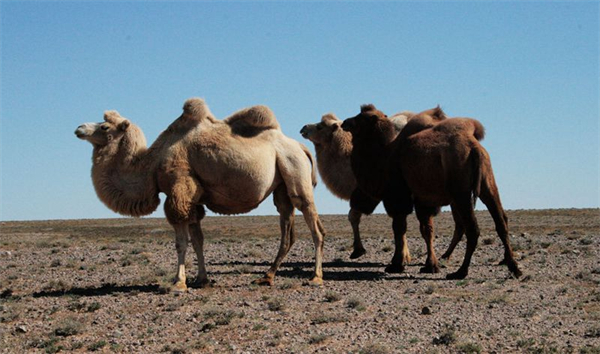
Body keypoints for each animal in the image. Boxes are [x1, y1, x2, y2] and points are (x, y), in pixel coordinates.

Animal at [78, 97, 328, 290]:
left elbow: (181, 242)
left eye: (104, 127)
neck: (152, 163)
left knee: (314, 226)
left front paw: (179, 283)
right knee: (287, 228)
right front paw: (201, 279)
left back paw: (316, 277)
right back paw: (267, 277)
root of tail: (301, 147)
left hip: (295, 172)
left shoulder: (178, 190)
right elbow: (198, 239)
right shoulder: (193, 200)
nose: (79, 128)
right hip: (281, 186)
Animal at [300, 112, 468, 262]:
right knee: (460, 223)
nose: (303, 128)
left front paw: (360, 251)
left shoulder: (369, 192)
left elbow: (353, 216)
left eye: (320, 126)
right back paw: (446, 255)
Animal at [342, 105, 520, 280]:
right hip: (487, 184)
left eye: (360, 118)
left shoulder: (398, 196)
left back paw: (460, 272)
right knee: (501, 221)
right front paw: (430, 266)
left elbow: (400, 228)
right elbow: (427, 230)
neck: (384, 157)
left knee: (472, 229)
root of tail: (473, 147)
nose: (345, 122)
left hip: (460, 192)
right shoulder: (423, 199)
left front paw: (396, 265)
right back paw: (514, 267)